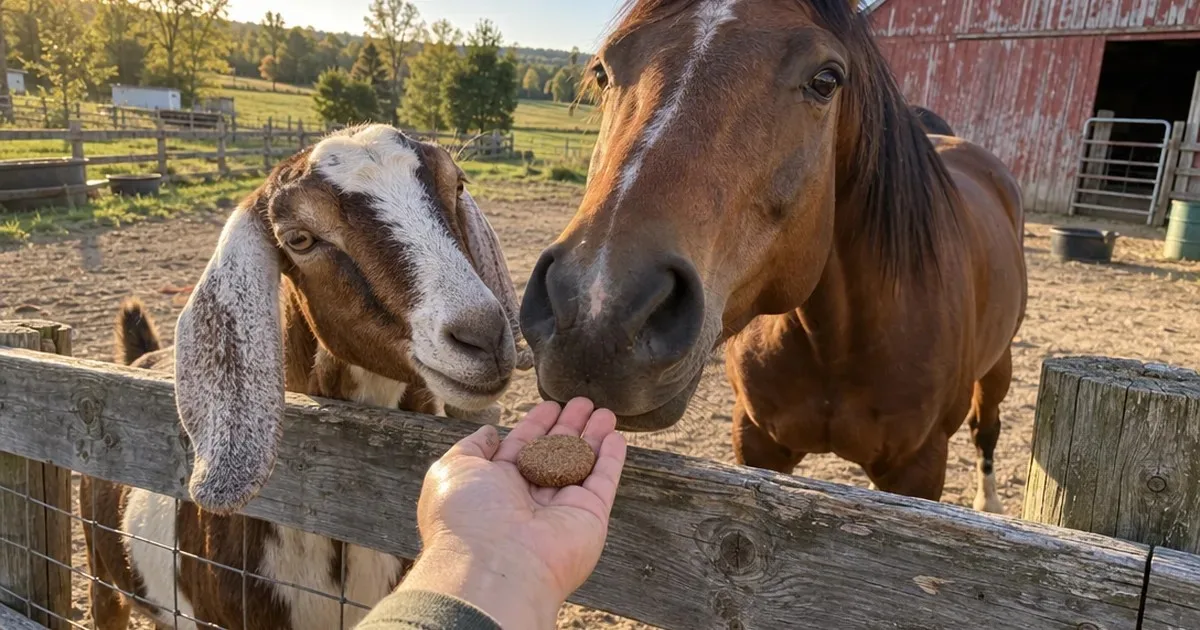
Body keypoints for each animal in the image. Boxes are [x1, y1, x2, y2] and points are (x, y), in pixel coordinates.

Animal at [518, 0, 1027, 511]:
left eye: (826, 80)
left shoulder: (919, 467)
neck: (836, 344)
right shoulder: (758, 441)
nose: (596, 317)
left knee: (986, 430)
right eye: (602, 72)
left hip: (998, 369)